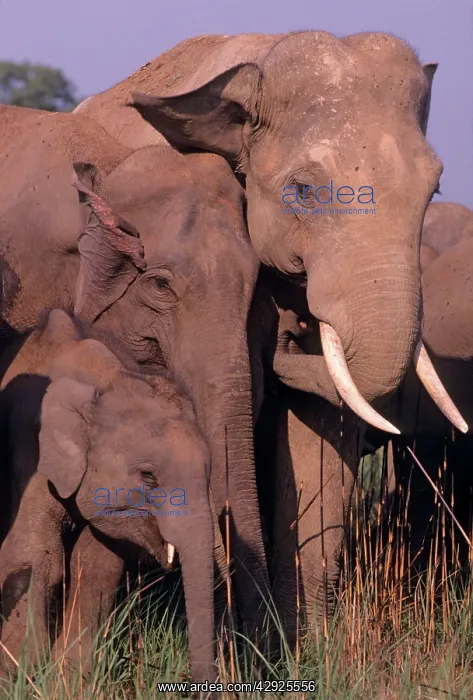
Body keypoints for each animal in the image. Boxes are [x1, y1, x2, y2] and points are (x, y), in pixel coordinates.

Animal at [0, 308, 215, 683]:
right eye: (148, 476)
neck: (105, 377)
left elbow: (97, 564)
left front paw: (71, 678)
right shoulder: (30, 450)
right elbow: (33, 551)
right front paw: (21, 673)